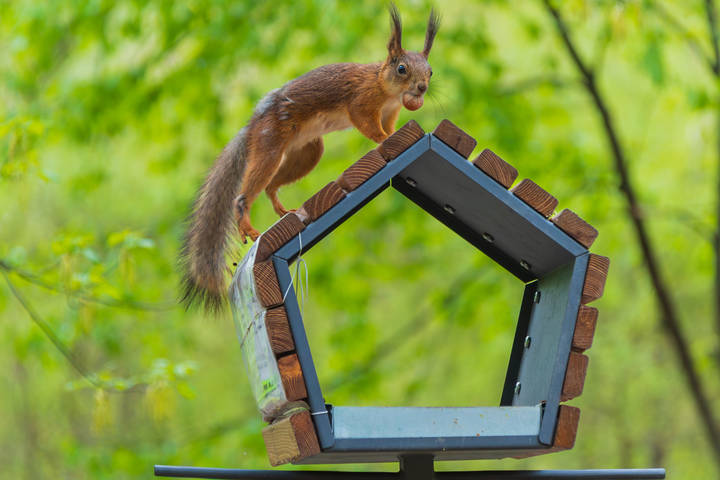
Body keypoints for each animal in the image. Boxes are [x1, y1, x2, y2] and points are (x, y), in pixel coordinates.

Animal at [181, 5, 439, 312]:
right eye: (402, 69)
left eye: (431, 71)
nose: (422, 88)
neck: (384, 87)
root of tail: (252, 126)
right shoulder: (361, 102)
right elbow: (368, 125)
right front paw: (383, 139)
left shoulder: (390, 112)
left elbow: (390, 126)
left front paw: (396, 135)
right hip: (270, 145)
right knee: (245, 194)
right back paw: (247, 225)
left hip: (308, 152)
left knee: (272, 186)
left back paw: (284, 211)